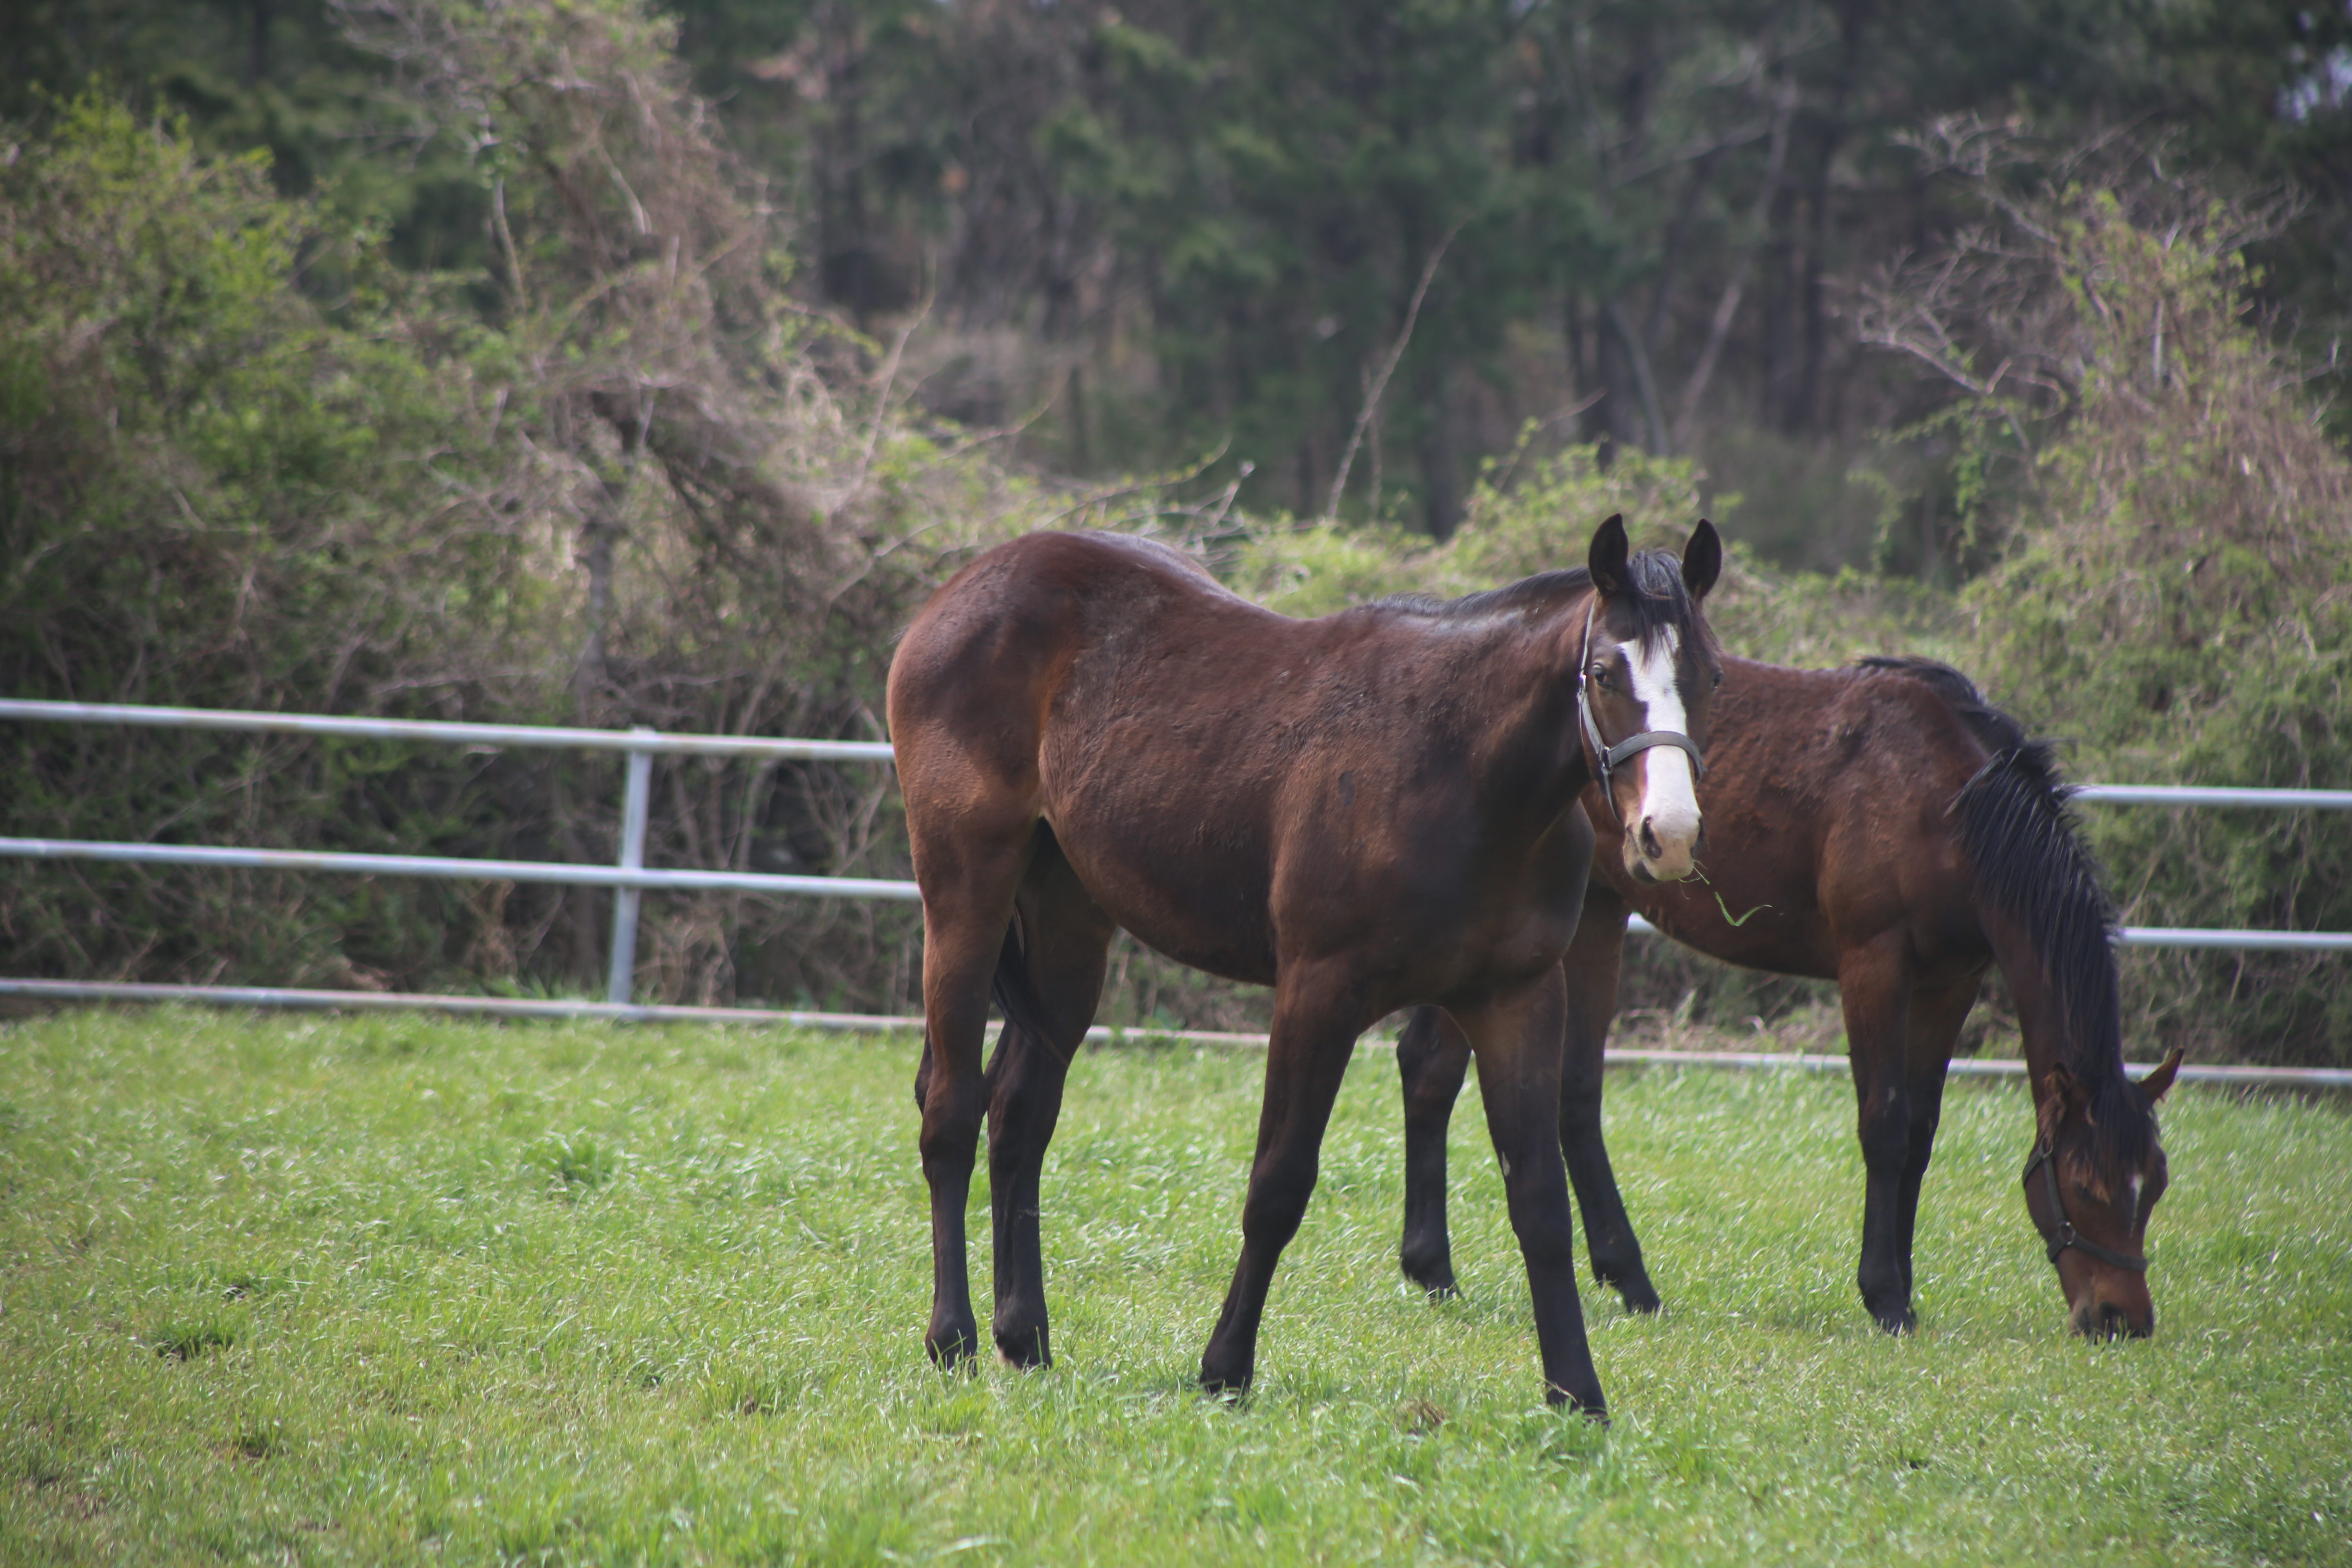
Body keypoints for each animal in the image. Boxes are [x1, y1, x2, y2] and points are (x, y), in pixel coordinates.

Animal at [889, 514, 1722, 1410]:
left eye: (1711, 675)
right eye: (1604, 672)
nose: (1669, 835)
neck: (1459, 768)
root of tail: (956, 595)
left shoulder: (1516, 998)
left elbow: (1538, 1198)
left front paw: (1576, 1391)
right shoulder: (1319, 990)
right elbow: (1279, 1184)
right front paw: (1225, 1367)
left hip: (1067, 921)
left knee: (1021, 1113)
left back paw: (1026, 1336)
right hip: (966, 893)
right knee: (951, 1109)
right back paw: (953, 1338)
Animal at [1392, 648, 2183, 1335]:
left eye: (2155, 1185)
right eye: (2084, 1185)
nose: (2122, 1320)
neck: (1948, 799)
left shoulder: (1950, 981)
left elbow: (1921, 1132)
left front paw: (1904, 1286)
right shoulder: (1873, 963)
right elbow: (1885, 1125)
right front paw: (1884, 1295)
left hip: (1593, 913)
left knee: (1558, 1090)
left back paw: (1612, 1279)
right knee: (1436, 1069)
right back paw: (1441, 1271)